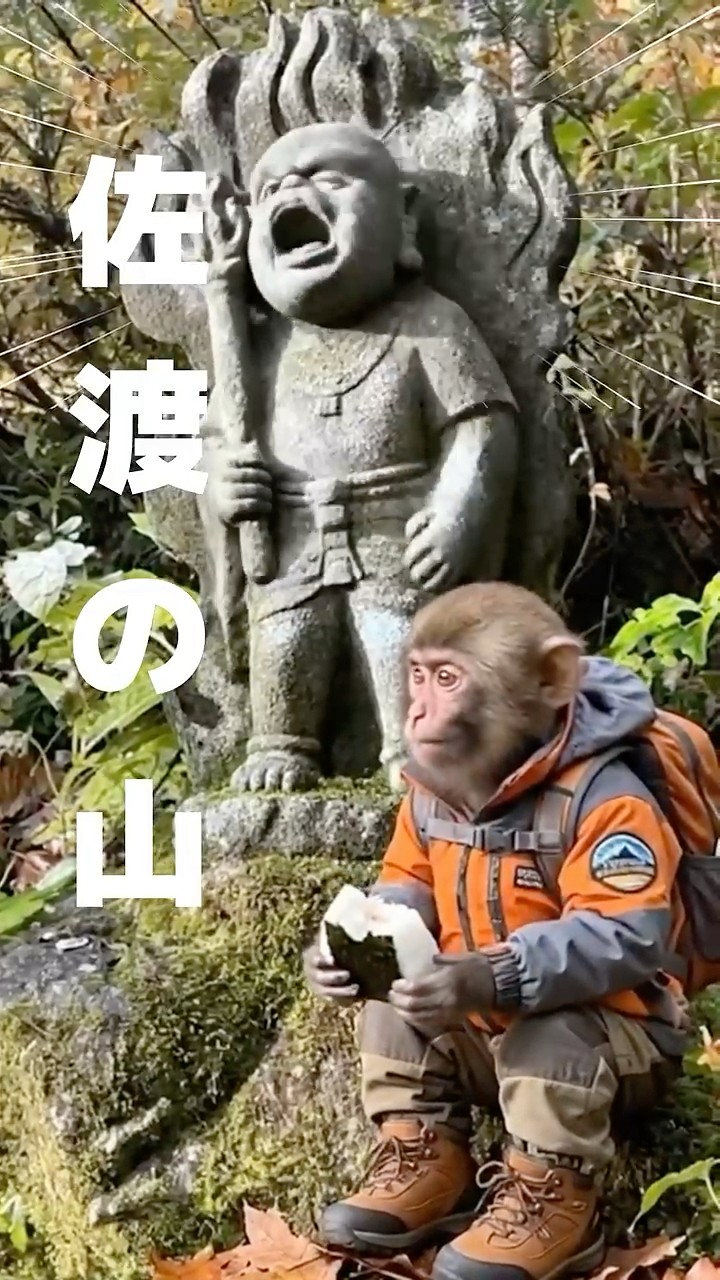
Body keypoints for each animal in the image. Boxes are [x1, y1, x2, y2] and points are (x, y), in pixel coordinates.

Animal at [304, 582, 691, 1280]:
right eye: (420, 675)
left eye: (448, 680)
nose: (417, 712)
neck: (493, 796)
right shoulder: (420, 801)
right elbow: (408, 882)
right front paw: (325, 964)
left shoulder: (616, 802)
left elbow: (615, 930)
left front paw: (471, 979)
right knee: (395, 1019)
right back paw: (402, 1180)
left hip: (649, 1068)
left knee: (559, 1033)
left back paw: (522, 1231)